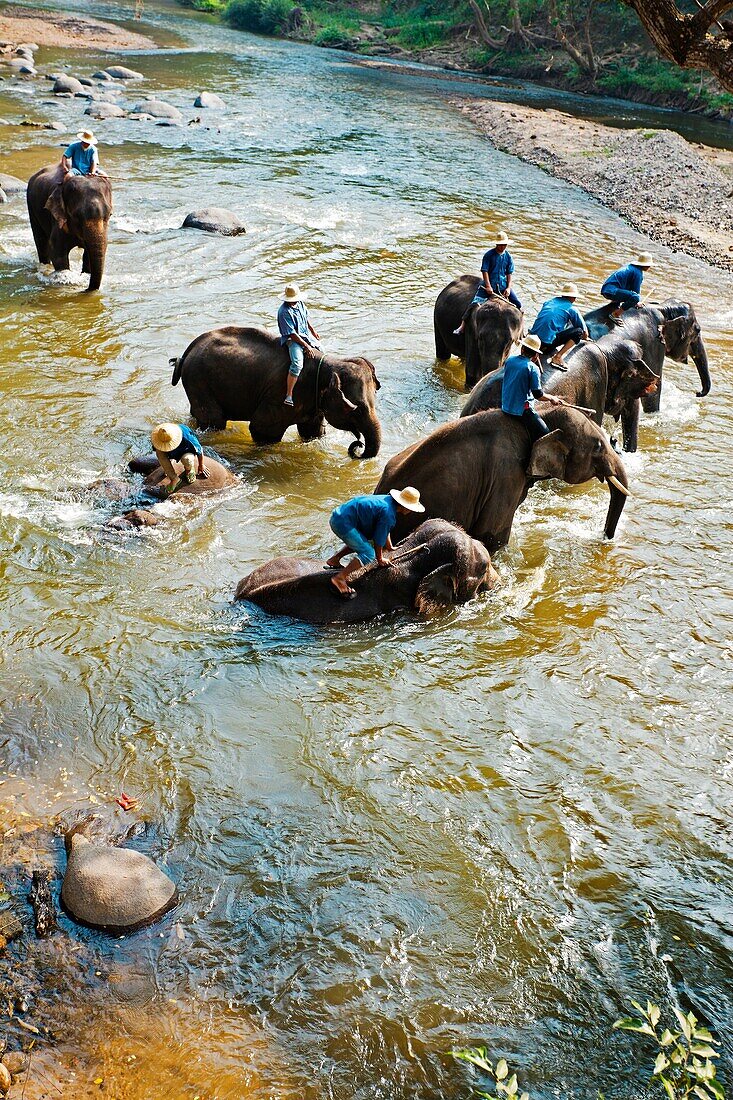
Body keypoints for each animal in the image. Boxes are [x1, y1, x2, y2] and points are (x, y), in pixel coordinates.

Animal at [25, 163, 112, 292]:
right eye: (76, 216)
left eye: (109, 215)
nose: (87, 289)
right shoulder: (57, 220)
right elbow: (57, 253)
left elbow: (88, 255)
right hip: (31, 206)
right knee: (41, 242)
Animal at [171, 327, 383, 462]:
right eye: (356, 410)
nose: (357, 447)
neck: (330, 363)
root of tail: (187, 351)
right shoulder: (281, 397)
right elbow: (262, 429)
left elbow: (312, 432)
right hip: (199, 380)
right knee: (214, 421)